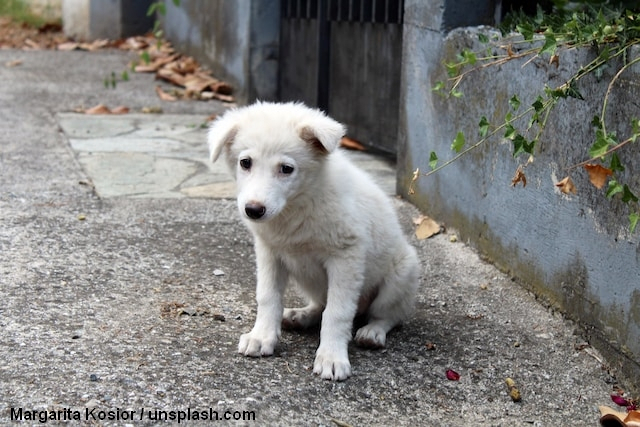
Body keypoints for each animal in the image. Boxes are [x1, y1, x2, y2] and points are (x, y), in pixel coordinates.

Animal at [210, 101, 420, 382]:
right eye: (245, 162)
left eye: (287, 169)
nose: (253, 210)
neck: (298, 204)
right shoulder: (269, 252)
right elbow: (267, 297)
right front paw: (262, 336)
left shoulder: (346, 256)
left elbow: (337, 312)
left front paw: (331, 356)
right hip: (309, 280)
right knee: (320, 304)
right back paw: (301, 315)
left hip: (402, 273)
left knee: (388, 315)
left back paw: (372, 332)